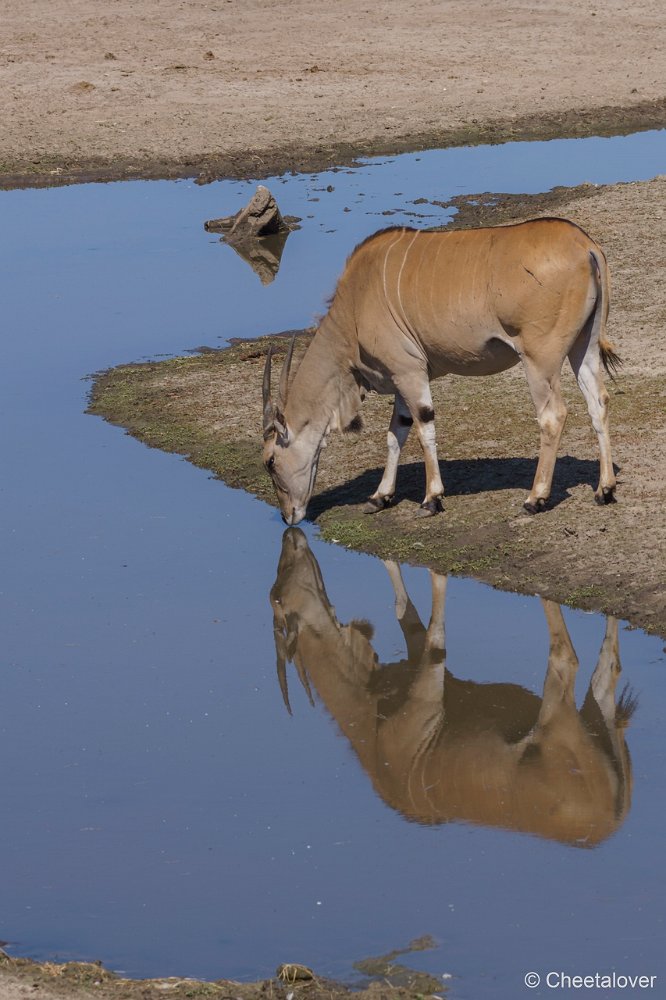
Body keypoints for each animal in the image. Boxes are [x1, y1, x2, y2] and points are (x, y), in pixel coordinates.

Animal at [260, 218, 616, 524]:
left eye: (270, 461)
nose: (288, 516)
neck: (356, 302)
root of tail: (584, 245)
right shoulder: (402, 378)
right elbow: (396, 433)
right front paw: (380, 496)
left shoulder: (409, 372)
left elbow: (423, 428)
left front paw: (431, 499)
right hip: (583, 348)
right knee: (597, 402)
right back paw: (605, 489)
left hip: (539, 359)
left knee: (553, 414)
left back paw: (535, 498)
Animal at [268, 532, 632, 844]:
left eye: (278, 597)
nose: (290, 534)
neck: (374, 736)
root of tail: (610, 819)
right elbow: (403, 606)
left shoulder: (427, 694)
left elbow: (434, 629)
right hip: (598, 717)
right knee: (607, 670)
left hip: (557, 715)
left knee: (564, 658)